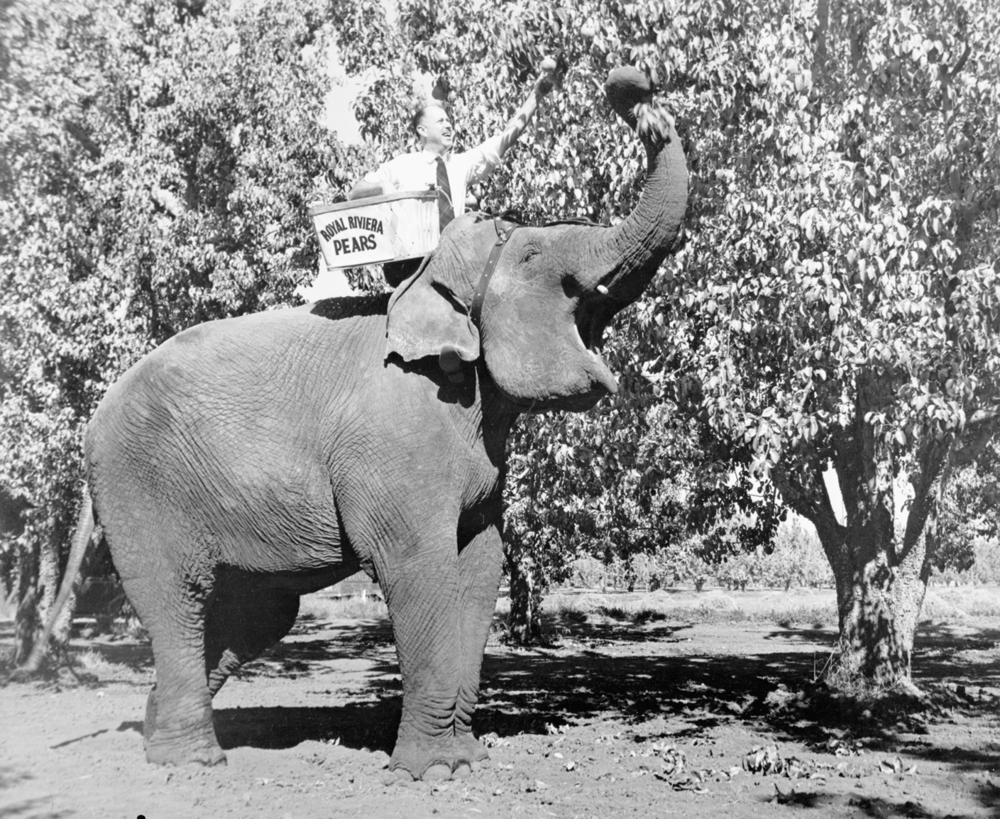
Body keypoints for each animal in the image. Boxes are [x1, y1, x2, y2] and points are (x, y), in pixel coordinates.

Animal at [24, 66, 688, 780]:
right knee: (177, 600)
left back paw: (155, 735)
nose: (631, 84)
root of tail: (94, 416)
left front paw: (466, 759)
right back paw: (192, 763)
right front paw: (433, 773)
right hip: (136, 487)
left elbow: (480, 563)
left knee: (254, 616)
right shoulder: (393, 443)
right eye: (535, 253)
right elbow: (416, 564)